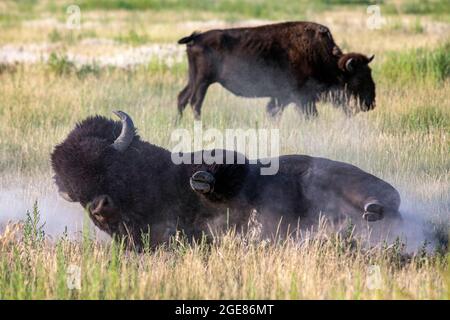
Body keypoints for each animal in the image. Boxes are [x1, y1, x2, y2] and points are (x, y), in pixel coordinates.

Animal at [51, 110, 400, 248]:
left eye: (111, 166)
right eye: (76, 191)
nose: (99, 207)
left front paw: (202, 180)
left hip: (343, 180)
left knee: (389, 200)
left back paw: (369, 213)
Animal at [178, 21, 374, 120]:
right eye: (359, 78)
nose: (371, 103)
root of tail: (196, 38)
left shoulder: (284, 98)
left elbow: (273, 112)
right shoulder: (302, 98)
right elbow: (309, 116)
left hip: (194, 79)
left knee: (182, 98)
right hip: (203, 81)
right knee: (195, 103)